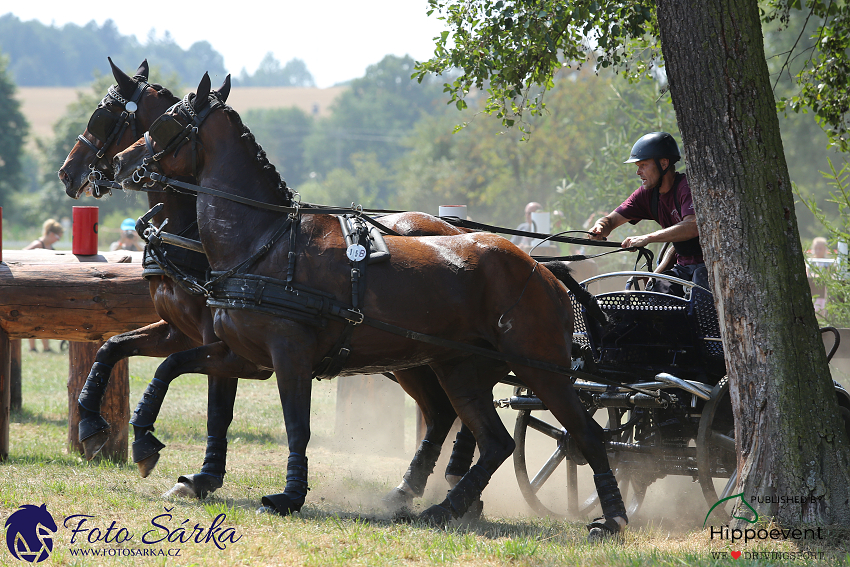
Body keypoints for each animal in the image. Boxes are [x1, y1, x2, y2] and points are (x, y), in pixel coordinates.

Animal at [56, 58, 490, 516]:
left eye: (102, 117)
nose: (69, 173)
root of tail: (456, 231)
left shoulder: (223, 340)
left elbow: (217, 408)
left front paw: (203, 476)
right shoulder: (183, 332)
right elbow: (113, 346)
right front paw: (92, 424)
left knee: (458, 409)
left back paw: (458, 484)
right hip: (413, 356)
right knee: (444, 412)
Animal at [112, 72, 628, 532]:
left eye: (165, 124)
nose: (118, 162)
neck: (265, 240)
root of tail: (544, 269)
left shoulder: (289, 355)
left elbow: (297, 424)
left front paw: (289, 496)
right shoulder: (244, 355)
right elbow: (170, 366)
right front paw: (145, 444)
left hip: (541, 368)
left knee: (584, 434)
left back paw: (613, 517)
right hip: (459, 369)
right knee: (493, 441)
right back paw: (443, 506)